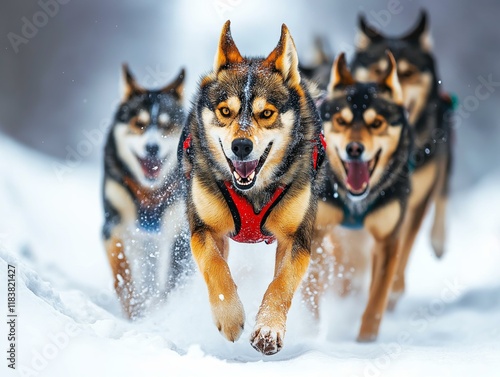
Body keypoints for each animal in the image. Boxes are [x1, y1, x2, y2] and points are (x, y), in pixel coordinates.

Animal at [102, 64, 192, 318]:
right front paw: (134, 309)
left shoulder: (180, 232)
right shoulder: (112, 223)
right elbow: (121, 267)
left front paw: (163, 310)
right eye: (138, 124)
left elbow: (173, 280)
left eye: (166, 125)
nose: (152, 147)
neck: (150, 193)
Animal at [182, 22, 326, 354]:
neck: (253, 192)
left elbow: (281, 283)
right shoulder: (204, 228)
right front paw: (230, 316)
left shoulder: (297, 238)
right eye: (225, 111)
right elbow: (215, 265)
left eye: (267, 113)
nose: (241, 146)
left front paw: (269, 328)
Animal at [302, 50, 412, 340]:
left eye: (377, 123)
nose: (354, 149)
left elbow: (376, 300)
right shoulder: (316, 232)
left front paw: (366, 341)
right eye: (342, 121)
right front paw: (310, 329)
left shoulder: (387, 240)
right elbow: (311, 286)